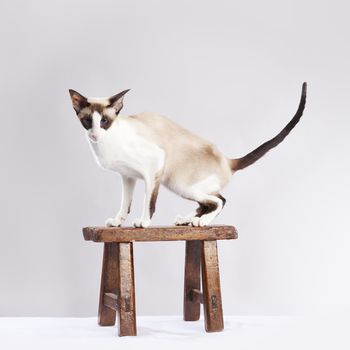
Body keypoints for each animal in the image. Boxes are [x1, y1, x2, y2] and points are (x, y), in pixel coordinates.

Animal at [68, 83, 306, 228]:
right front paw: (118, 222)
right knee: (209, 202)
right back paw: (187, 220)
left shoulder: (153, 168)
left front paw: (143, 223)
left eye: (104, 121)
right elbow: (125, 203)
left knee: (219, 201)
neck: (105, 144)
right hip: (180, 185)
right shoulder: (128, 177)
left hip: (181, 184)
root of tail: (227, 161)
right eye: (88, 121)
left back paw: (202, 223)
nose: (95, 134)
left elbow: (148, 203)